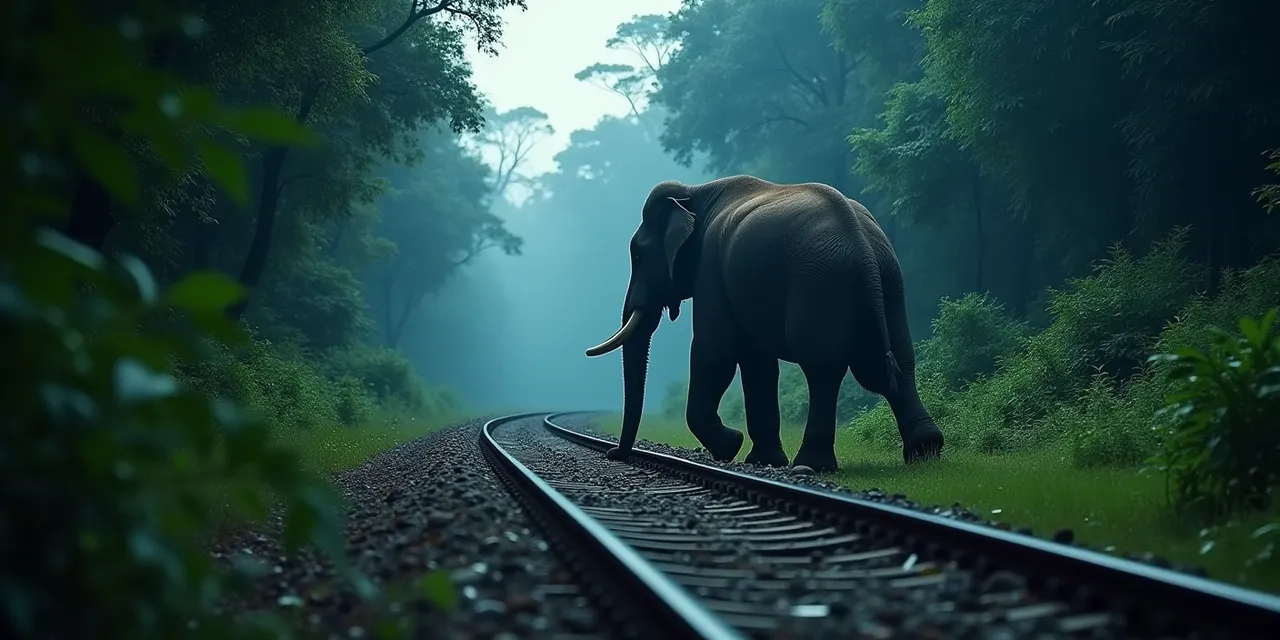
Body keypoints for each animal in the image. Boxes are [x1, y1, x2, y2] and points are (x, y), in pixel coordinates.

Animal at [584, 175, 944, 472]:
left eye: (638, 254)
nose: (613, 453)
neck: (696, 192)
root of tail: (862, 244)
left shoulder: (711, 267)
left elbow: (715, 351)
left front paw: (731, 446)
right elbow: (757, 362)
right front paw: (761, 459)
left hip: (819, 285)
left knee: (823, 367)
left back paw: (811, 465)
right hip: (890, 283)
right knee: (897, 360)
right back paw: (925, 452)